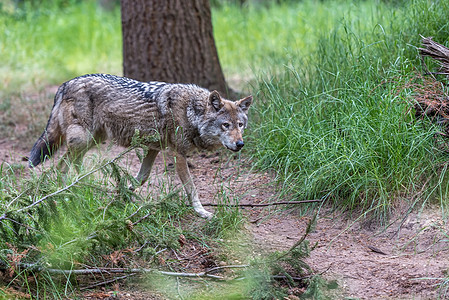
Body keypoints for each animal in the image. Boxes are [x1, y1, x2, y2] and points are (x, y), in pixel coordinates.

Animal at [28, 72, 252, 218]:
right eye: (226, 125)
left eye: (240, 125)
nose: (240, 144)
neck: (192, 112)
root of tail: (65, 84)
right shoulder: (178, 154)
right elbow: (191, 188)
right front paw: (202, 212)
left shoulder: (153, 148)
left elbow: (141, 178)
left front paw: (123, 195)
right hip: (82, 139)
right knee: (61, 167)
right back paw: (67, 195)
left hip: (93, 140)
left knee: (71, 165)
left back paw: (80, 187)